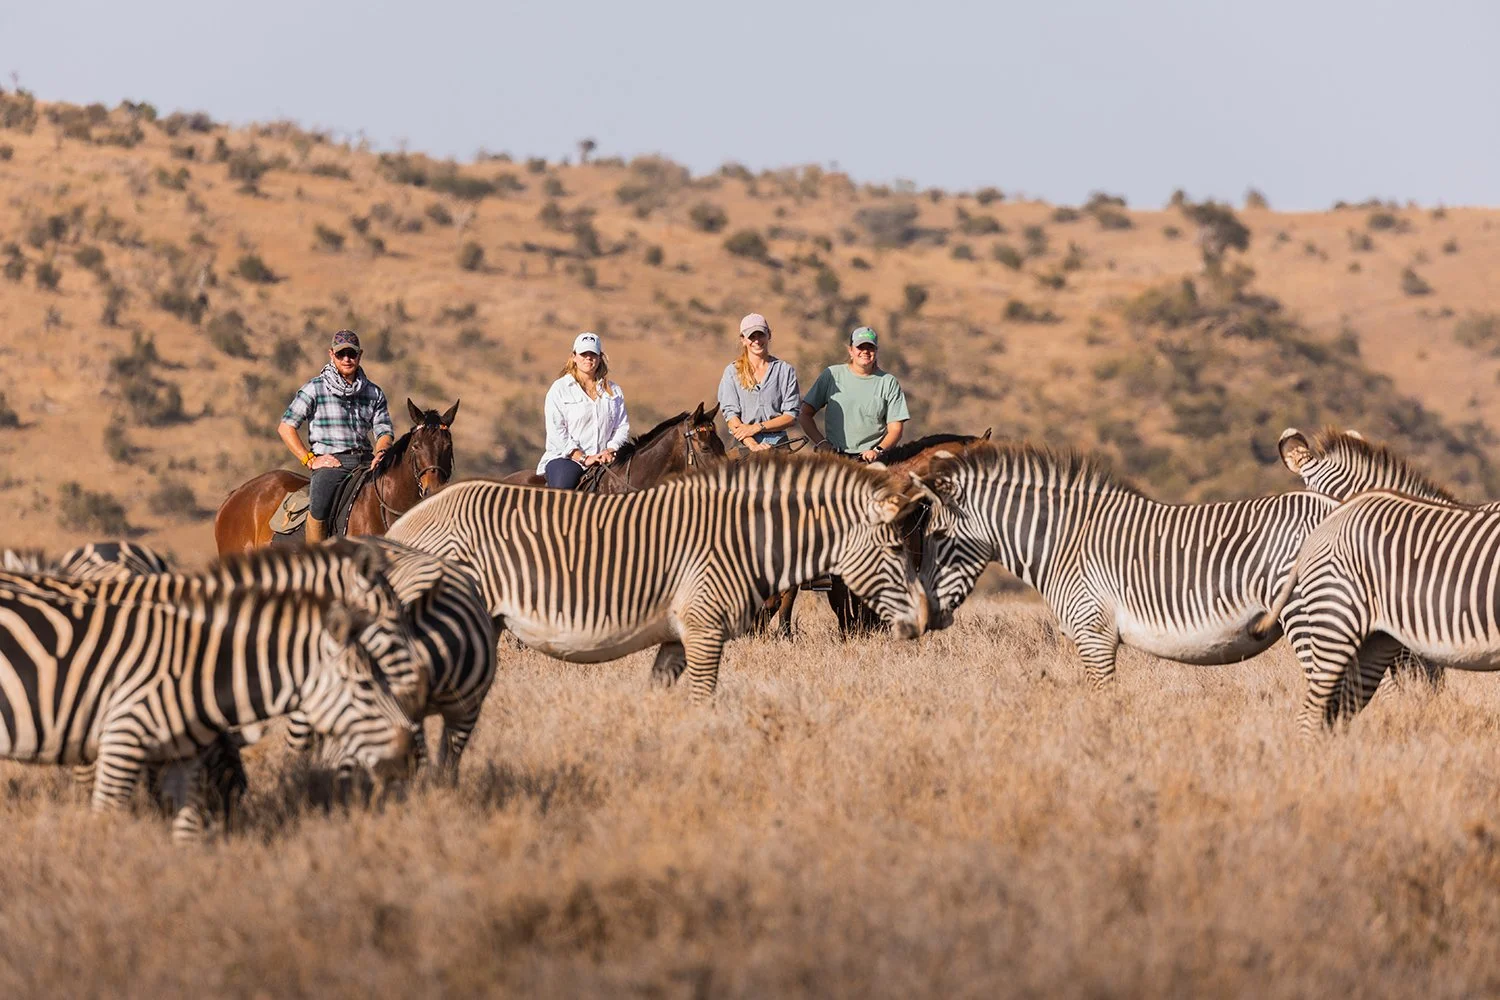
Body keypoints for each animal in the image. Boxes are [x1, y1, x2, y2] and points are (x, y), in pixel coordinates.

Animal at [386, 452, 933, 702]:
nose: (926, 621)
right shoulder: (705, 627)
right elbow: (703, 701)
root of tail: (405, 519)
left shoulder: (677, 635)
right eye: (894, 547)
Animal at [911, 441, 1340, 686]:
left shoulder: (1093, 631)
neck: (1064, 541)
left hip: (1310, 614)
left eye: (938, 535)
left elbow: (1104, 701)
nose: (926, 618)